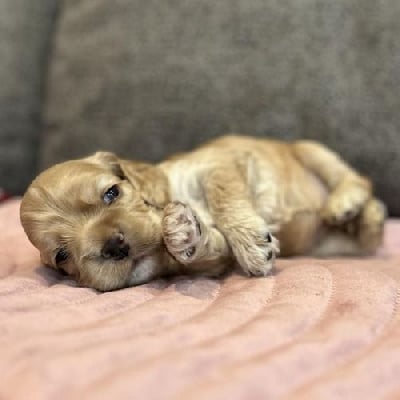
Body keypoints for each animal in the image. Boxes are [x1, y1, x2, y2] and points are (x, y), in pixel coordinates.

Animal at [20, 135, 386, 290]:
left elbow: (223, 197)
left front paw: (252, 244)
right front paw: (182, 232)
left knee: (357, 180)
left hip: (312, 150)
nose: (113, 246)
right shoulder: (215, 262)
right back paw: (365, 221)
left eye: (112, 192)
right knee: (370, 234)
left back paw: (346, 204)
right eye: (62, 256)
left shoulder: (216, 165)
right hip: (332, 245)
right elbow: (209, 247)